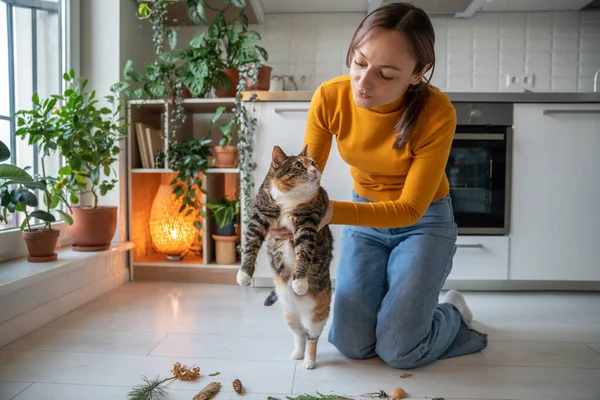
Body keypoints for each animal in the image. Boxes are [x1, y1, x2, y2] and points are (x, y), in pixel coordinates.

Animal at [237, 144, 336, 368]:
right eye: (299, 165)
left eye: (313, 162)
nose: (315, 170)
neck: (289, 198)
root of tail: (298, 306)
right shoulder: (259, 216)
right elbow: (251, 244)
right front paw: (244, 275)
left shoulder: (307, 223)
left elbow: (304, 253)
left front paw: (299, 281)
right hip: (289, 314)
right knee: (298, 334)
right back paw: (298, 353)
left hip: (317, 314)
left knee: (311, 336)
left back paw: (309, 361)